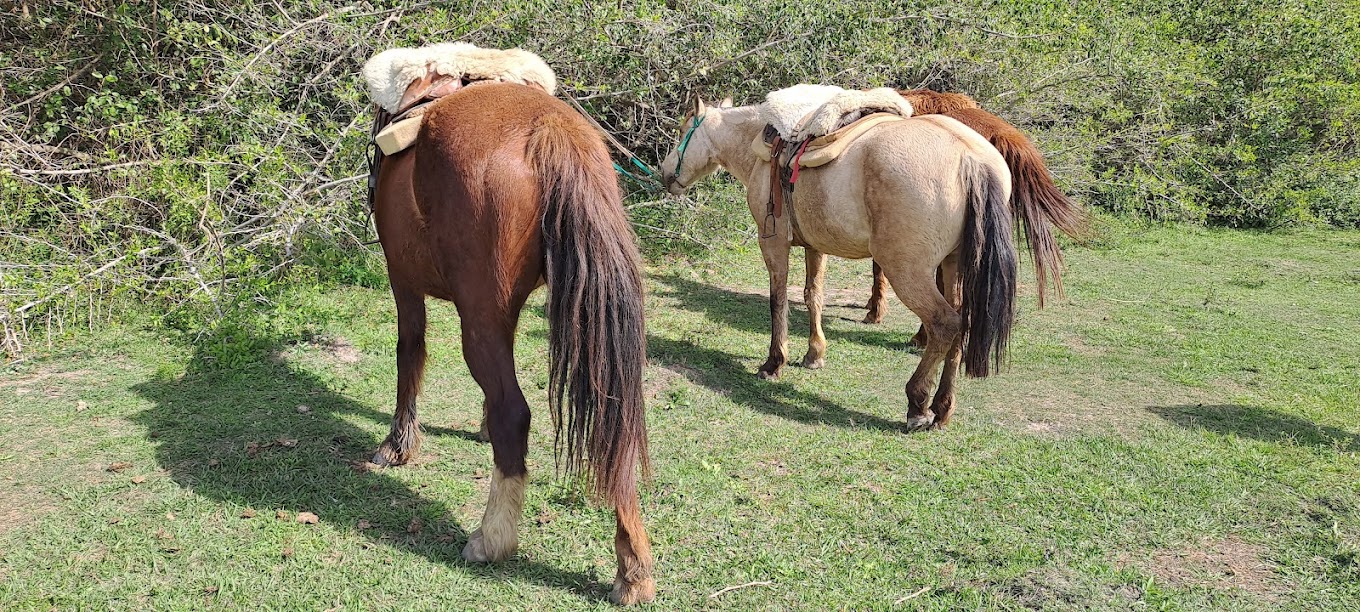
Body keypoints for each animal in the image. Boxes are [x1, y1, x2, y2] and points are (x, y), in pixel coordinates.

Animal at [371, 81, 655, 604]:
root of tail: (550, 130)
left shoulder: (402, 281)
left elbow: (409, 353)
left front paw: (398, 445)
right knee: (617, 424)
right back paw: (633, 567)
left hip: (476, 313)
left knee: (514, 412)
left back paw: (491, 538)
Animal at [659, 95, 1043, 430]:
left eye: (682, 130)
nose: (664, 173)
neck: (760, 149)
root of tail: (970, 159)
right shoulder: (815, 245)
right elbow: (813, 295)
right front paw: (814, 354)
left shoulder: (773, 242)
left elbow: (778, 300)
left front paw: (774, 363)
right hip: (953, 266)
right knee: (962, 324)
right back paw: (942, 407)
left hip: (907, 271)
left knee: (944, 324)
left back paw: (918, 404)